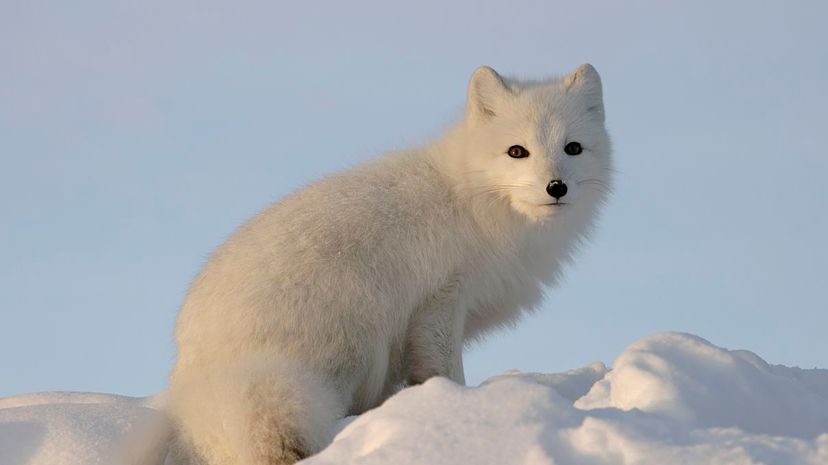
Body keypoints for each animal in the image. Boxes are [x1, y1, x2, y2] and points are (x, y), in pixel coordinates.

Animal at [165, 63, 612, 462]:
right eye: (517, 152)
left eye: (573, 148)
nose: (557, 187)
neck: (472, 202)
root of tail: (193, 378)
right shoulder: (439, 302)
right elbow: (446, 372)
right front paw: (458, 408)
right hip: (355, 335)